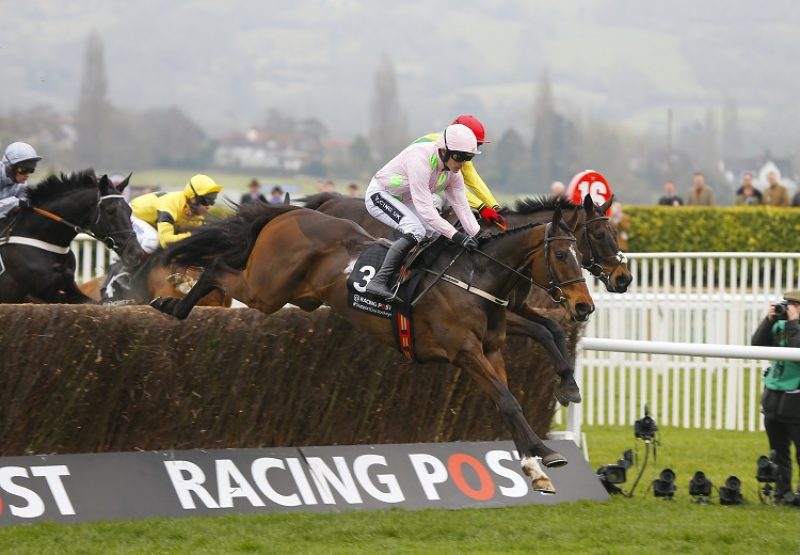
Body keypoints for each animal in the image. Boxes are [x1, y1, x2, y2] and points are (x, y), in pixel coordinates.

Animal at [153, 202, 596, 494]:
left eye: (583, 255)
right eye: (562, 254)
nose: (584, 306)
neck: (477, 279)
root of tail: (288, 212)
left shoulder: (492, 350)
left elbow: (509, 397)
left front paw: (535, 465)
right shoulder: (465, 353)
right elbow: (509, 400)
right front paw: (546, 452)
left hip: (295, 296)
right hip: (265, 289)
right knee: (217, 268)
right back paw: (172, 304)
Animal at [300, 191, 632, 404]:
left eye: (615, 231)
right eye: (599, 235)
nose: (624, 278)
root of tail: (328, 200)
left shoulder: (513, 306)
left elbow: (552, 329)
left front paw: (568, 383)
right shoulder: (501, 311)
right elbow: (542, 331)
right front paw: (567, 382)